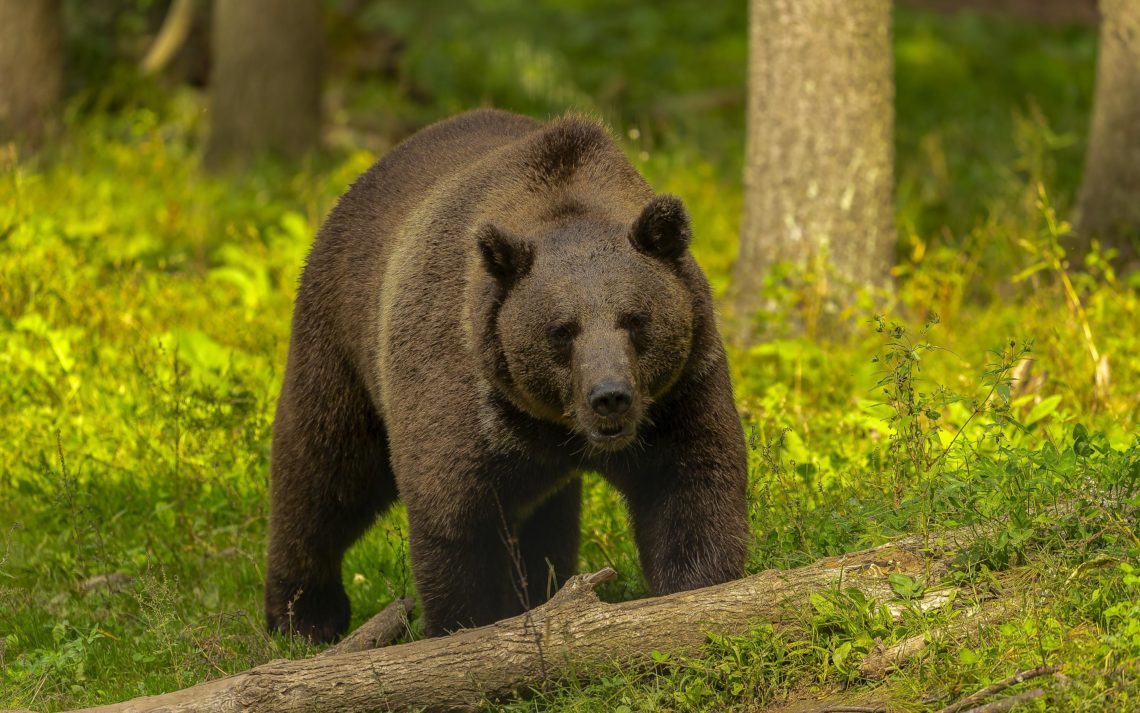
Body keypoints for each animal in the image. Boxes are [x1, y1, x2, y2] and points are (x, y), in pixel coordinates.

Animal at [263, 107, 752, 638]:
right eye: (562, 330)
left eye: (635, 319)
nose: (610, 397)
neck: (554, 425)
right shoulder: (460, 389)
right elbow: (456, 518)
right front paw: (469, 623)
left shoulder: (679, 390)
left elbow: (690, 486)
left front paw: (695, 592)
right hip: (341, 339)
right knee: (323, 472)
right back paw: (303, 615)